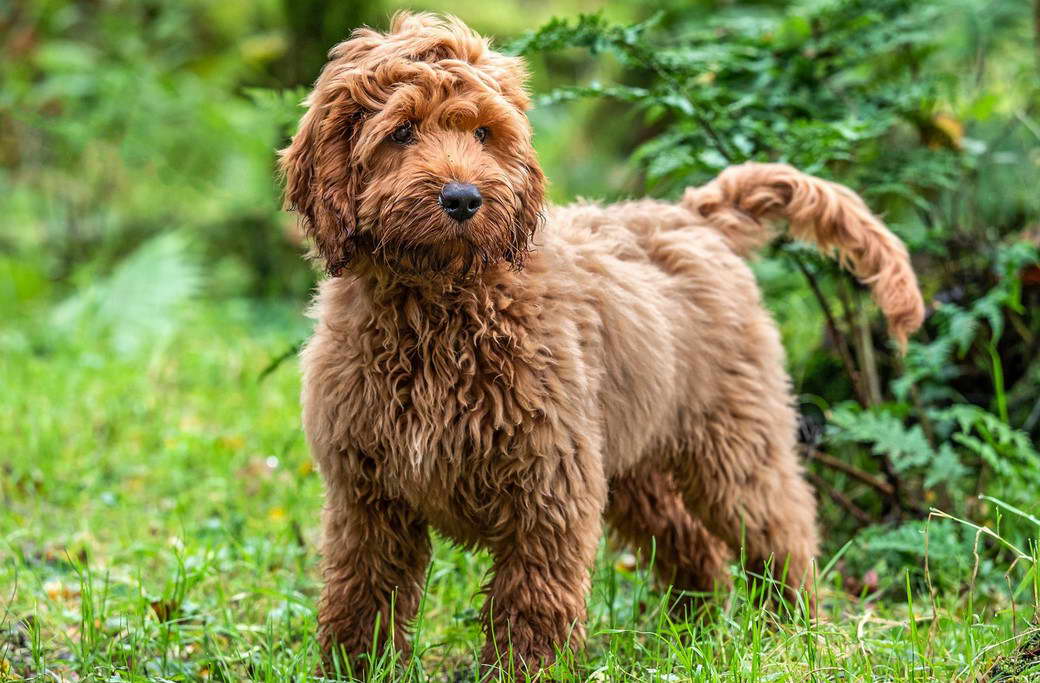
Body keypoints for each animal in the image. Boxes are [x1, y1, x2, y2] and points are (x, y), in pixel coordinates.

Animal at [278, 10, 927, 677]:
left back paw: (791, 630)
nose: (463, 198)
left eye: (484, 133)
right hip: (635, 456)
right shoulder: (367, 495)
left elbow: (532, 597)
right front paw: (353, 668)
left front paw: (527, 670)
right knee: (692, 544)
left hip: (733, 438)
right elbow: (361, 590)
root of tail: (694, 215)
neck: (440, 306)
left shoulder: (548, 481)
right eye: (402, 131)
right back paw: (691, 633)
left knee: (781, 526)